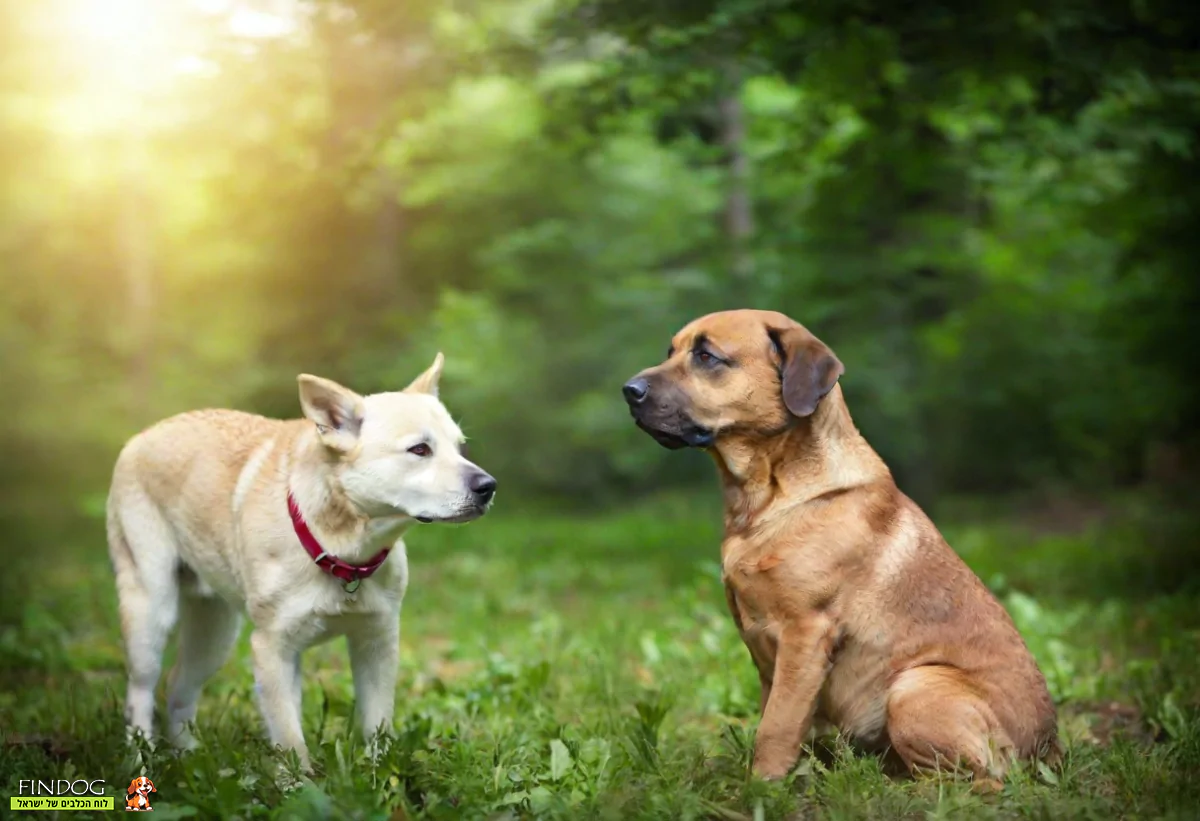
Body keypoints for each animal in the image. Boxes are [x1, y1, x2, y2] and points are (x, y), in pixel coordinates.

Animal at [106, 355, 492, 768]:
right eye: (420, 450)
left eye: (460, 447)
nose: (488, 486)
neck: (340, 550)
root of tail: (143, 435)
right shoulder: (271, 649)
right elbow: (290, 738)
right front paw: (297, 783)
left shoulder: (378, 642)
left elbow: (378, 725)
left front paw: (380, 774)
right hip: (151, 612)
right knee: (140, 693)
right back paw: (141, 760)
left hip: (216, 632)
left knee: (178, 684)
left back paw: (188, 757)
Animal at [624, 309, 1056, 782]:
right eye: (671, 352)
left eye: (706, 356)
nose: (630, 390)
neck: (767, 498)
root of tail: (1047, 749)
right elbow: (777, 718)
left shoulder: (805, 633)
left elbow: (775, 727)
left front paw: (762, 787)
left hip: (913, 687)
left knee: (975, 781)